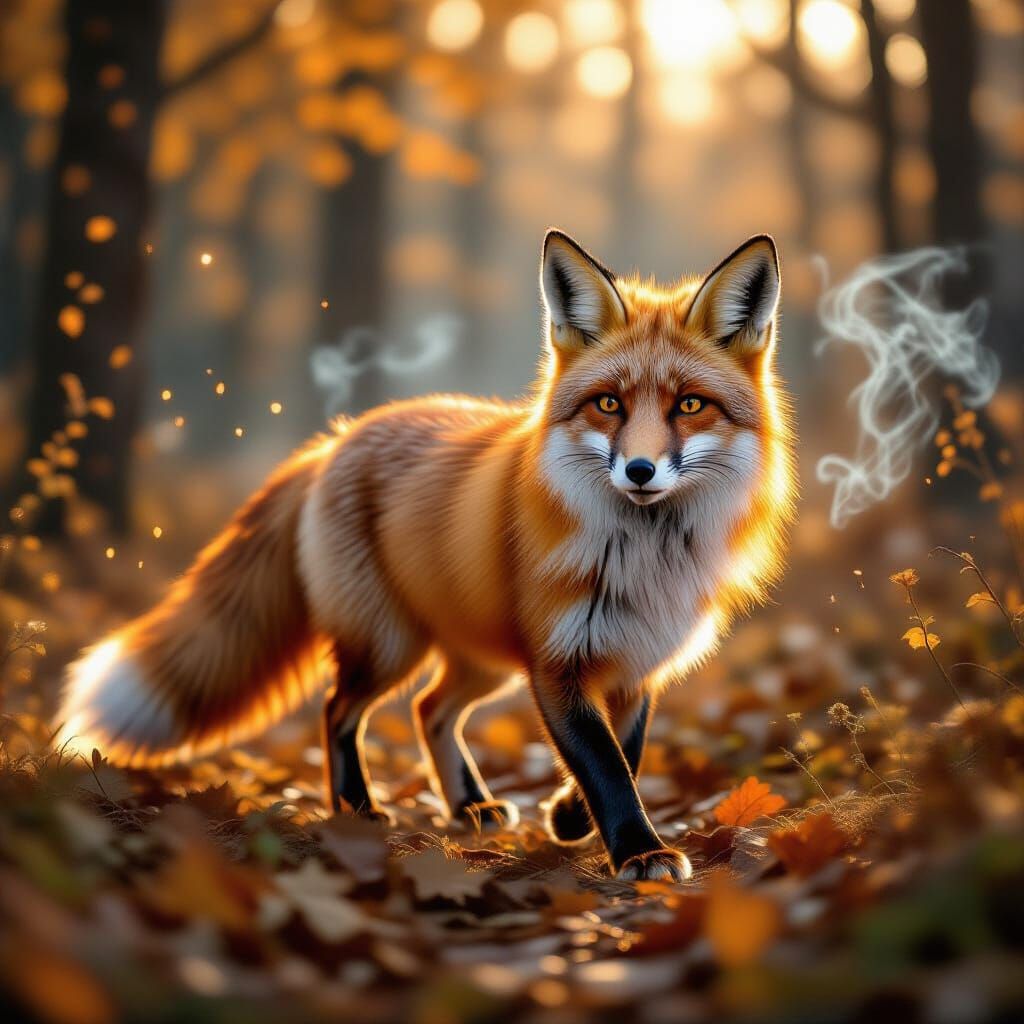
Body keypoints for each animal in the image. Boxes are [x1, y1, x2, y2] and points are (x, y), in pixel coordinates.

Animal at [57, 230, 795, 881]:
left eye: (690, 405)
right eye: (609, 404)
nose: (640, 471)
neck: (645, 558)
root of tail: (337, 438)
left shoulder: (638, 662)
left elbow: (629, 753)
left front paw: (569, 818)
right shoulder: (556, 662)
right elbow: (605, 766)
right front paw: (639, 852)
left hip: (478, 660)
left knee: (429, 709)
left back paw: (470, 807)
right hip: (389, 644)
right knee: (340, 709)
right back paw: (357, 807)